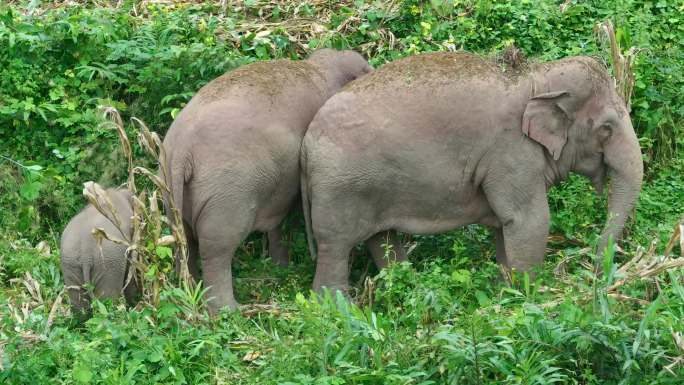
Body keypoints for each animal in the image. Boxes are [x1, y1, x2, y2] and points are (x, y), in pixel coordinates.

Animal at [302, 51, 644, 292]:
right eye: (606, 128)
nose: (596, 271)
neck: (538, 79)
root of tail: (306, 143)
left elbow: (505, 226)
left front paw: (506, 289)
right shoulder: (510, 152)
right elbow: (528, 220)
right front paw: (531, 296)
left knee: (381, 238)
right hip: (339, 187)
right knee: (335, 247)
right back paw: (338, 311)